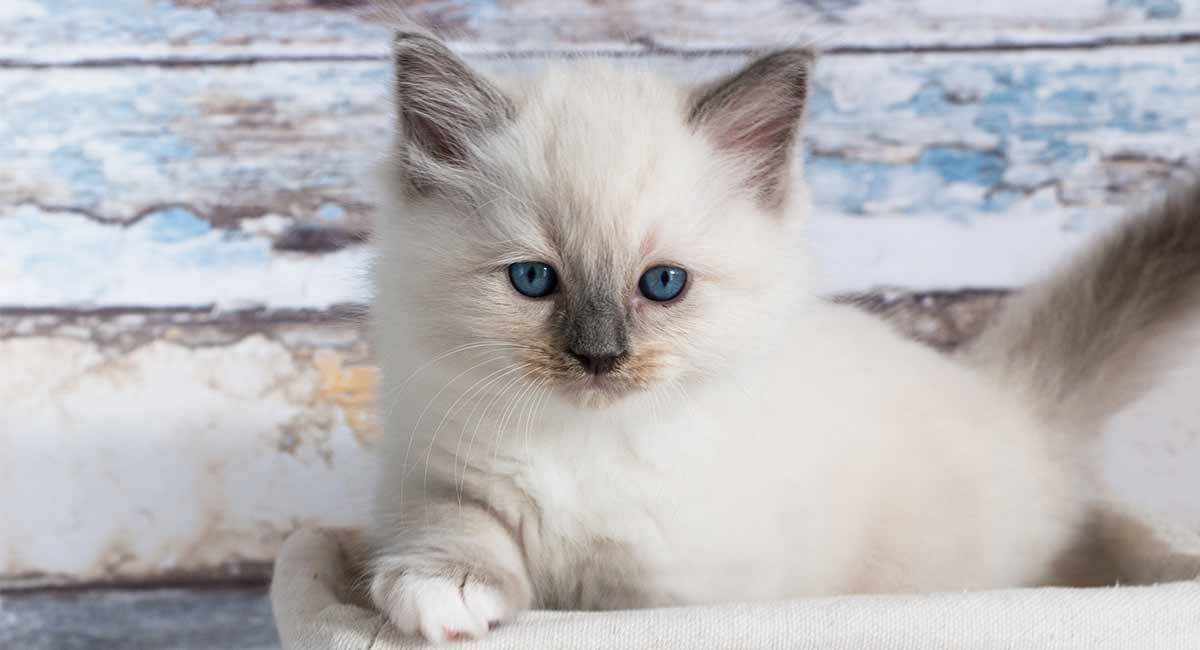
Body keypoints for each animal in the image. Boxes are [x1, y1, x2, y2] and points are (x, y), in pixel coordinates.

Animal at [364, 33, 1200, 642]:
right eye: (534, 279)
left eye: (662, 284)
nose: (600, 358)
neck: (589, 444)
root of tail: (1009, 394)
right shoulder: (434, 474)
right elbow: (454, 524)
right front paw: (446, 593)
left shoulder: (667, 590)